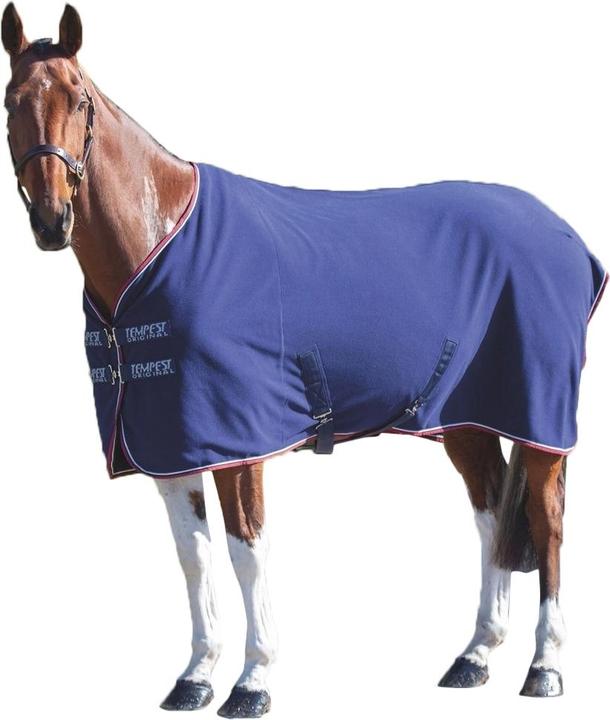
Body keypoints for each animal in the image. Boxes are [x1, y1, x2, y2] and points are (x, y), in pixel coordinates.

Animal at [3, 4, 606, 717]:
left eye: (79, 99)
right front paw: (195, 676)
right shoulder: (170, 443)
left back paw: (545, 667)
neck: (157, 245)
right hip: (463, 421)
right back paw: (475, 656)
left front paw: (253, 680)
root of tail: (564, 234)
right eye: (12, 101)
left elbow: (247, 553)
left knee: (547, 522)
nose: (51, 220)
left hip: (539, 423)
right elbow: (193, 556)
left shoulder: (238, 443)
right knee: (489, 517)